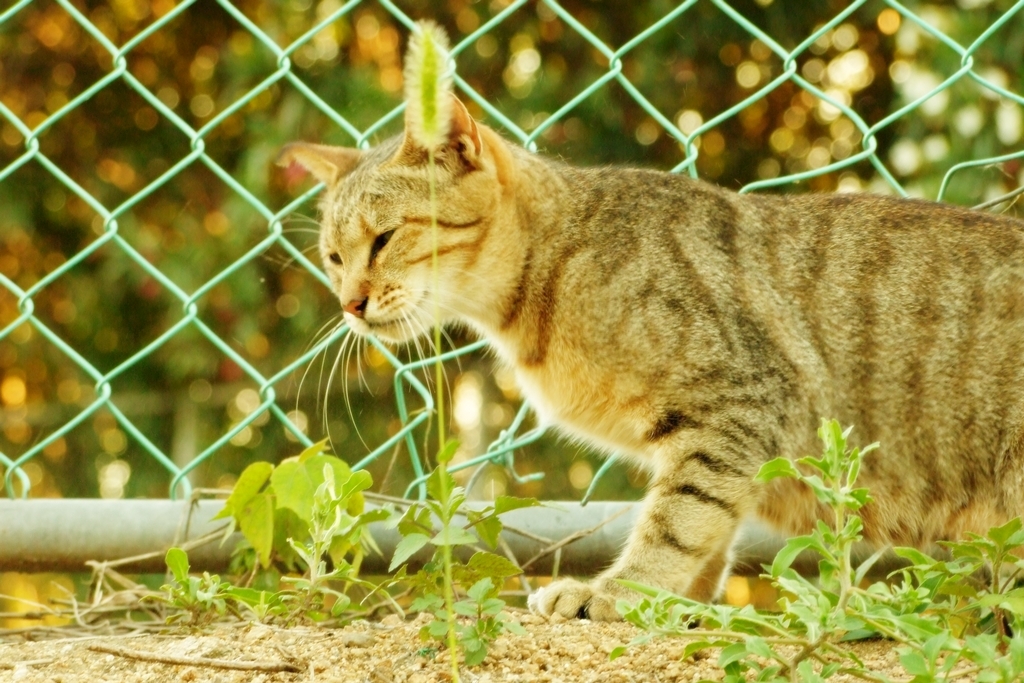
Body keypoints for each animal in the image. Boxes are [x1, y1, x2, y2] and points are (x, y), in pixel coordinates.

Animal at [276, 31, 1024, 622]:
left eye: (383, 239)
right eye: (333, 257)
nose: (349, 303)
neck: (549, 273)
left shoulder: (736, 405)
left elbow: (676, 520)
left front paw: (618, 591)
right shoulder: (728, 438)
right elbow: (706, 530)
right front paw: (676, 603)